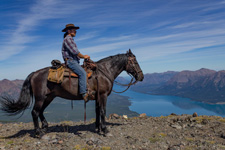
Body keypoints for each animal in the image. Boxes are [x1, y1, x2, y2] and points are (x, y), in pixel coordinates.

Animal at [0, 49, 143, 136]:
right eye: (135, 61)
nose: (141, 77)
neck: (104, 72)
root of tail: (34, 73)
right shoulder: (102, 96)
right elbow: (103, 111)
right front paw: (105, 130)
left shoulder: (97, 97)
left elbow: (97, 111)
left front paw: (98, 128)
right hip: (40, 97)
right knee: (35, 112)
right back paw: (38, 133)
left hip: (49, 97)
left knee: (40, 111)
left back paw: (45, 127)